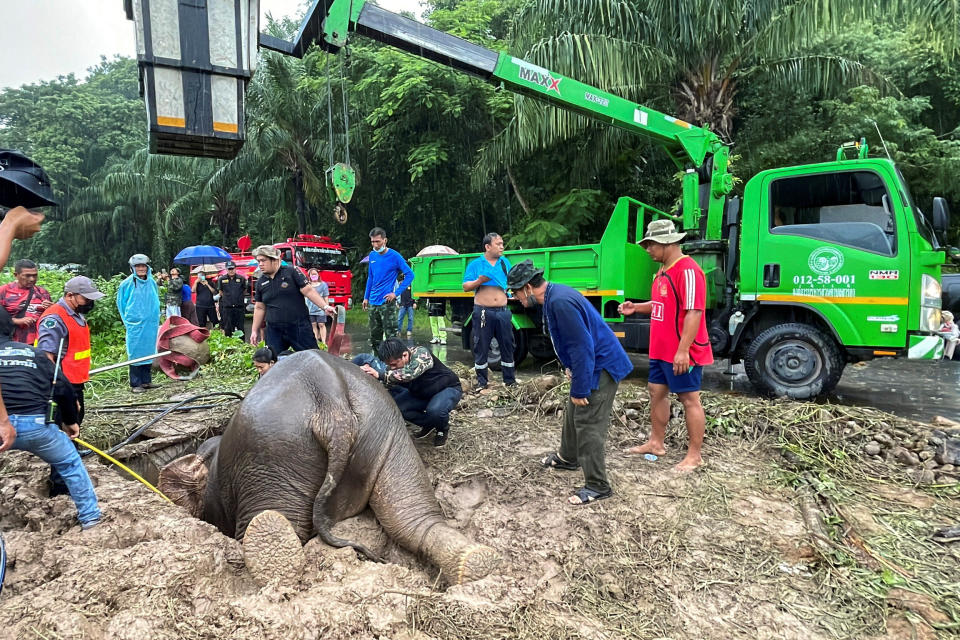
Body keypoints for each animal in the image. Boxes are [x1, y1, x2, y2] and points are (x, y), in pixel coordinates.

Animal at [157, 350, 496, 584]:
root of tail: (329, 400)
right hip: (388, 433)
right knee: (411, 517)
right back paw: (477, 563)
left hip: (272, 454)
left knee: (274, 523)